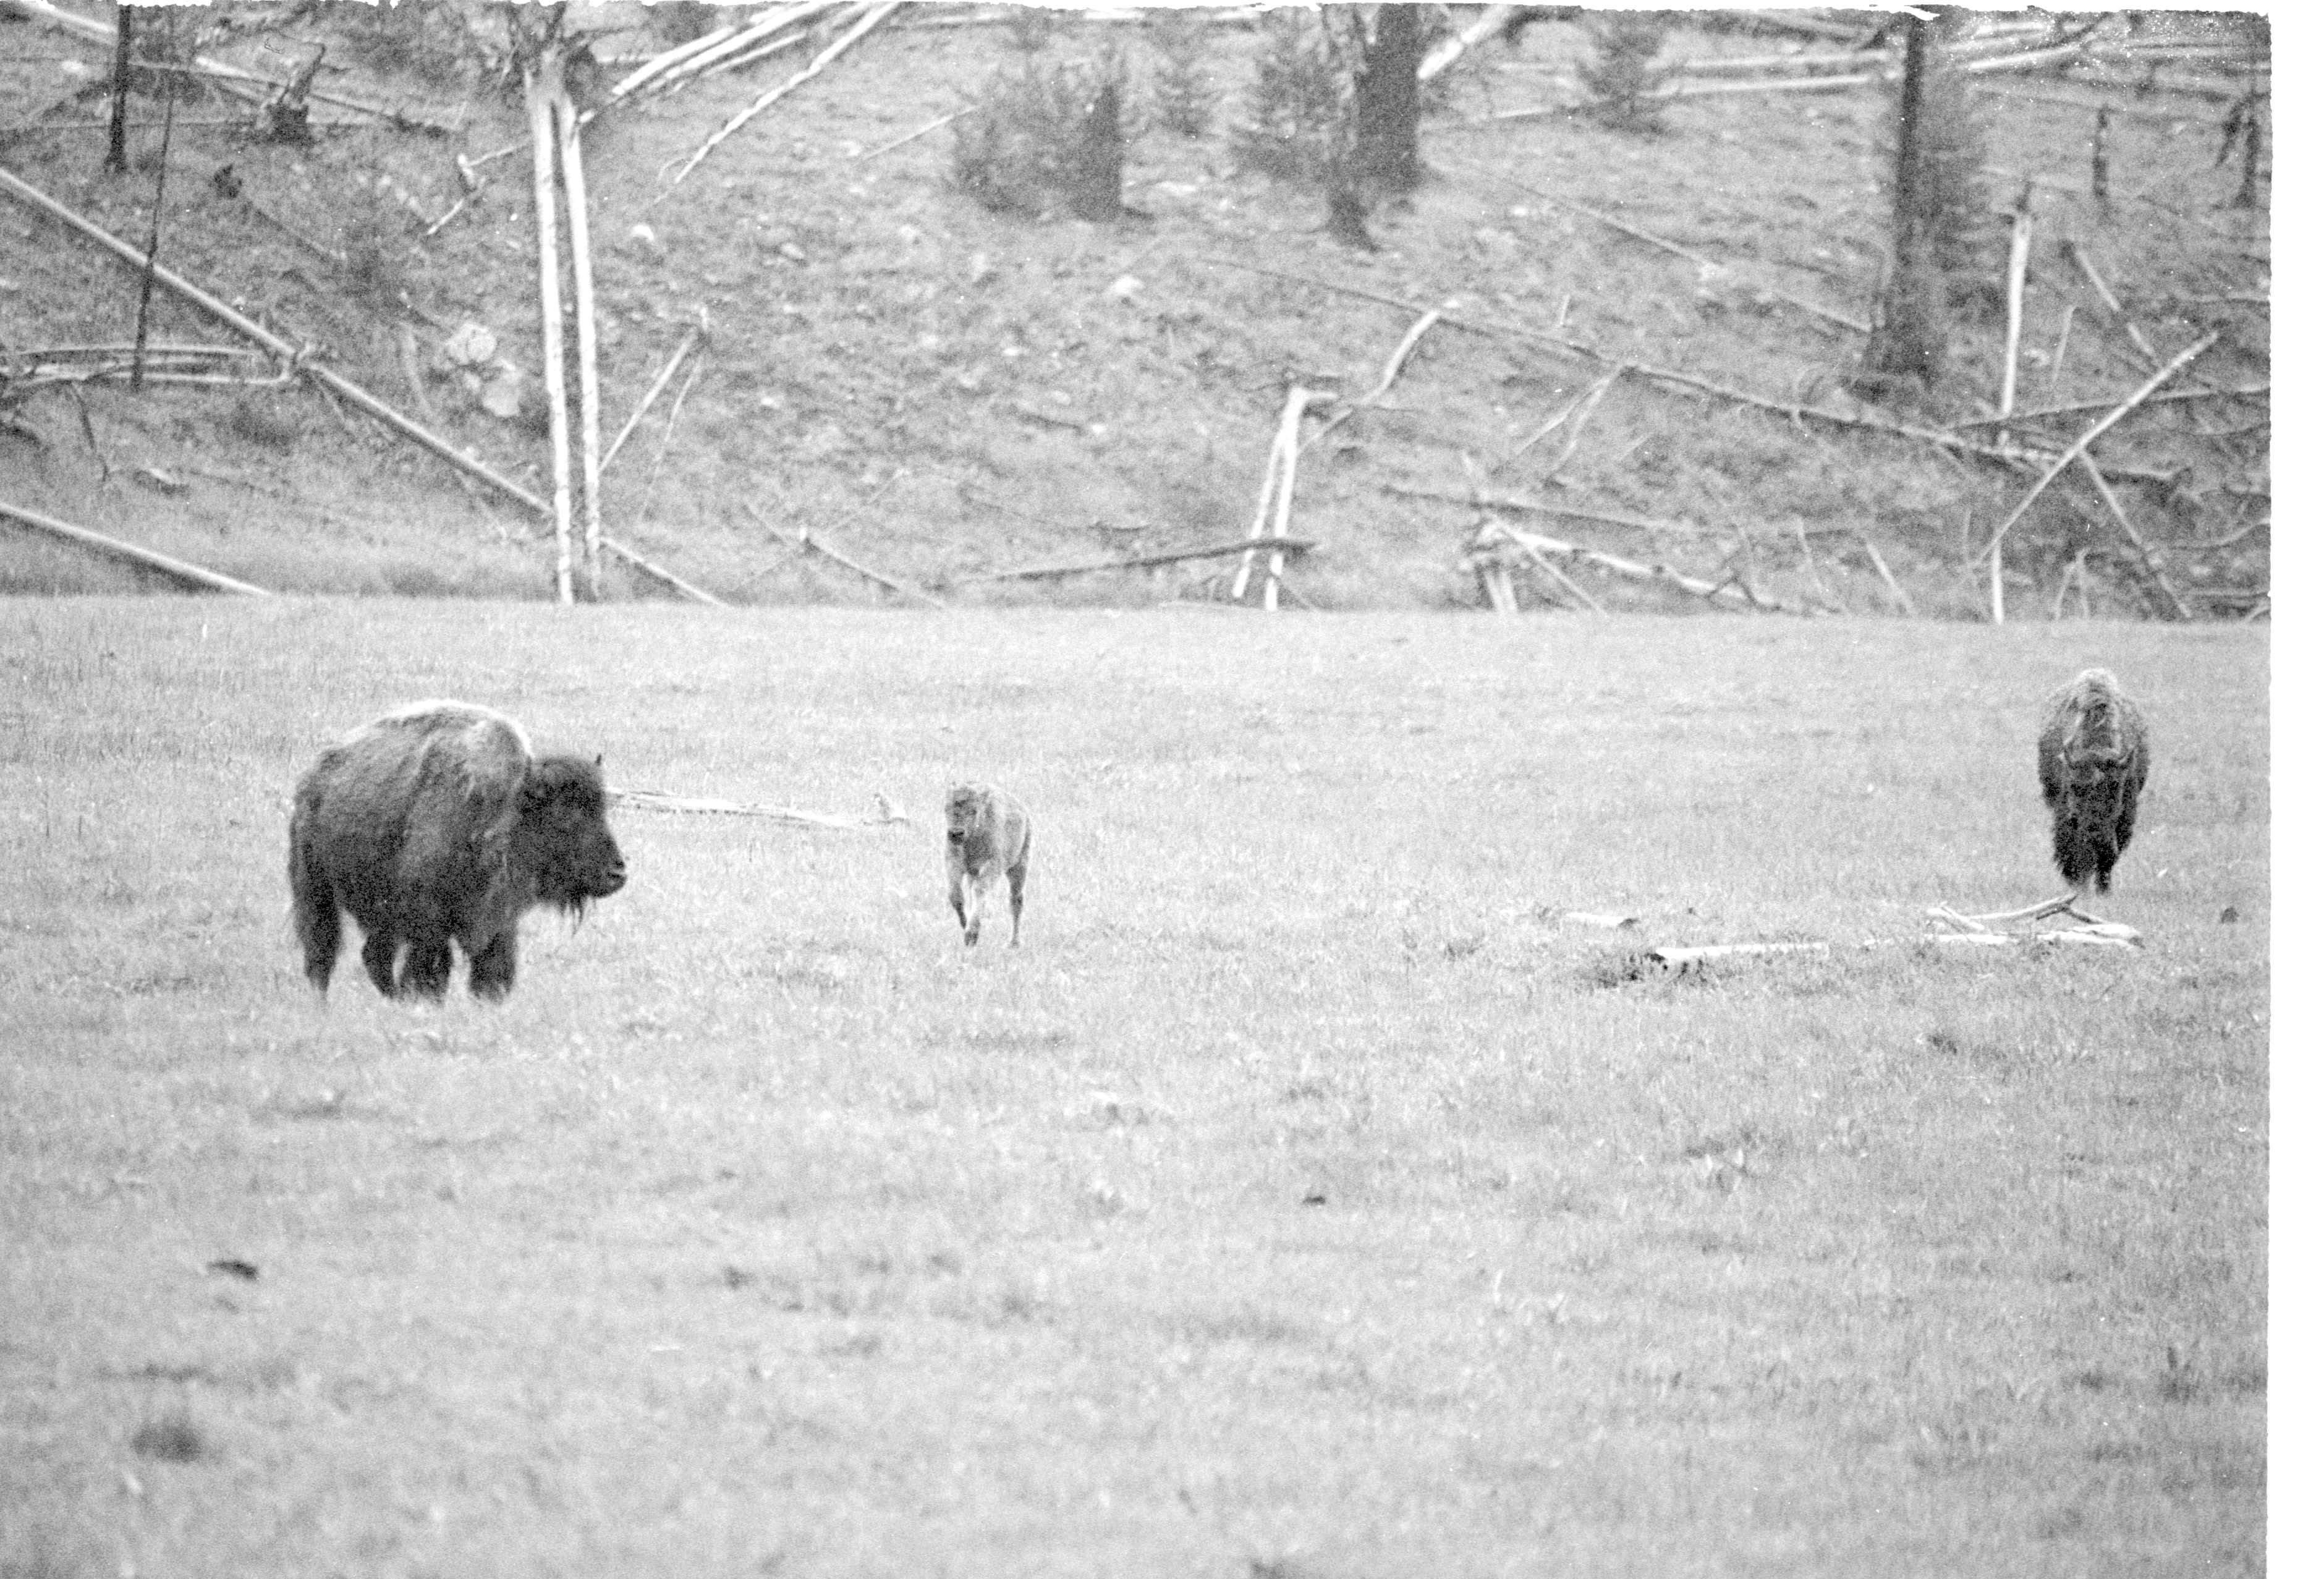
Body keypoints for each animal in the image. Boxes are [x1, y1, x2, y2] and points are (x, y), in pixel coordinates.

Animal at [288, 701, 627, 1001]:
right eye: (566, 815)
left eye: (601, 811)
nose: (617, 873)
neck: (507, 804)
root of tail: (314, 777)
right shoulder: (428, 916)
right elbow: (432, 965)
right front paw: (424, 999)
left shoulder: (498, 916)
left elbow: (492, 965)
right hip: (316, 890)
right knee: (322, 952)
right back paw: (322, 1003)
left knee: (374, 957)